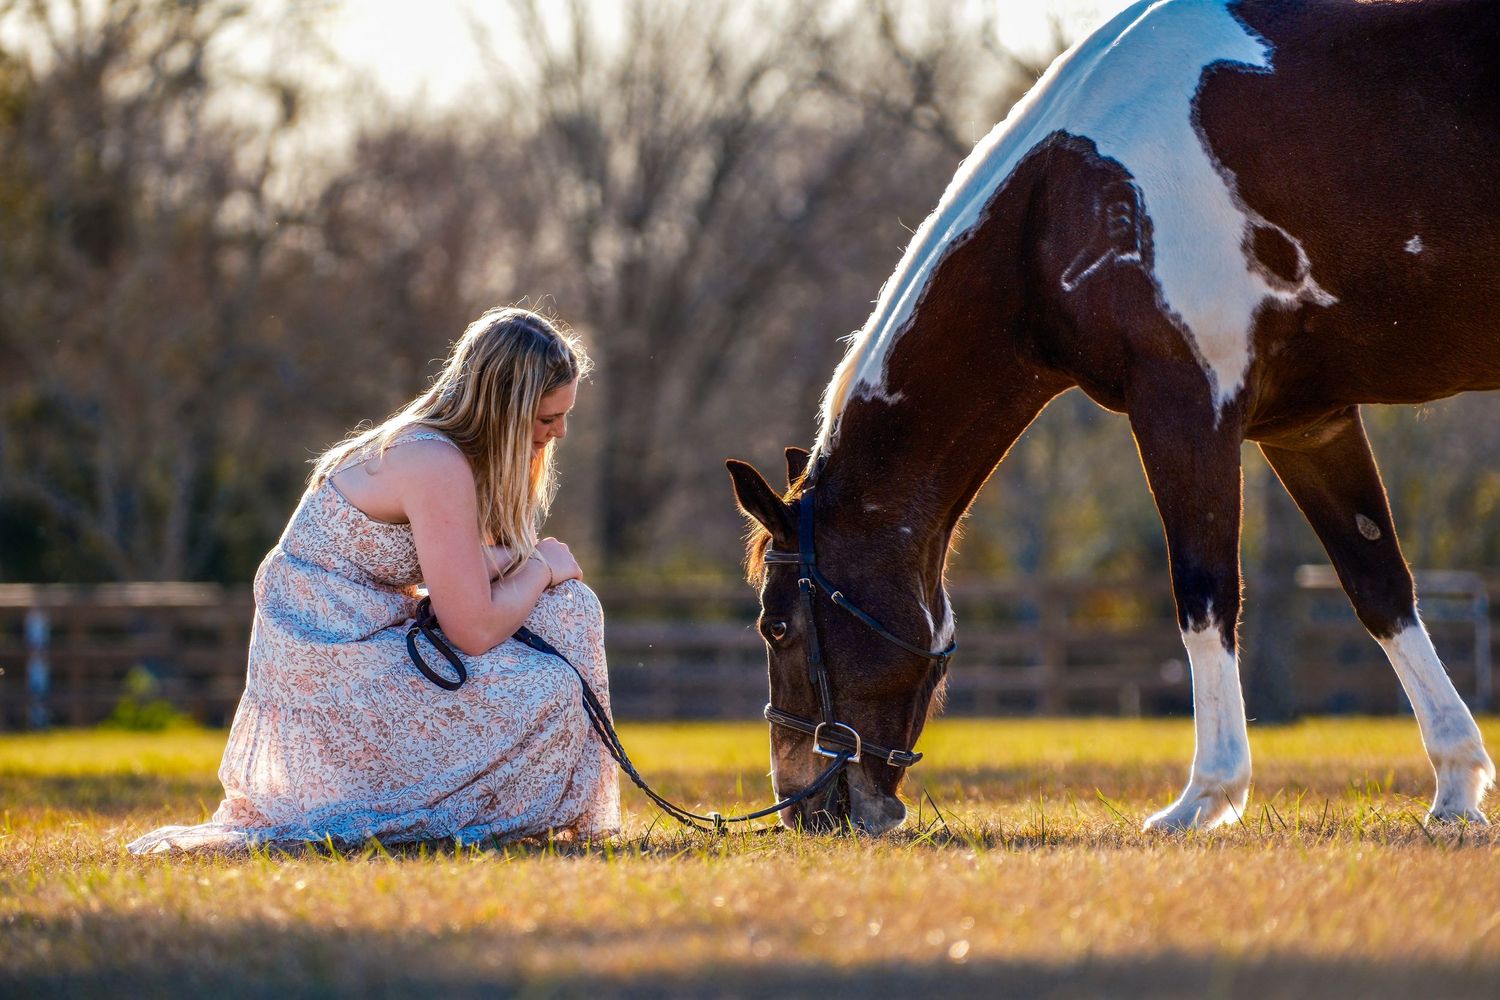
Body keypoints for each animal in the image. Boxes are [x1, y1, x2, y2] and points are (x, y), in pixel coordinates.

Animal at [726, 0, 1498, 834]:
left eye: (776, 626)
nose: (802, 805)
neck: (1065, 198)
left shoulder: (1186, 404)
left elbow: (1204, 592)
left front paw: (1206, 796)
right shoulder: (1307, 421)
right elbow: (1380, 588)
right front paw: (1457, 787)